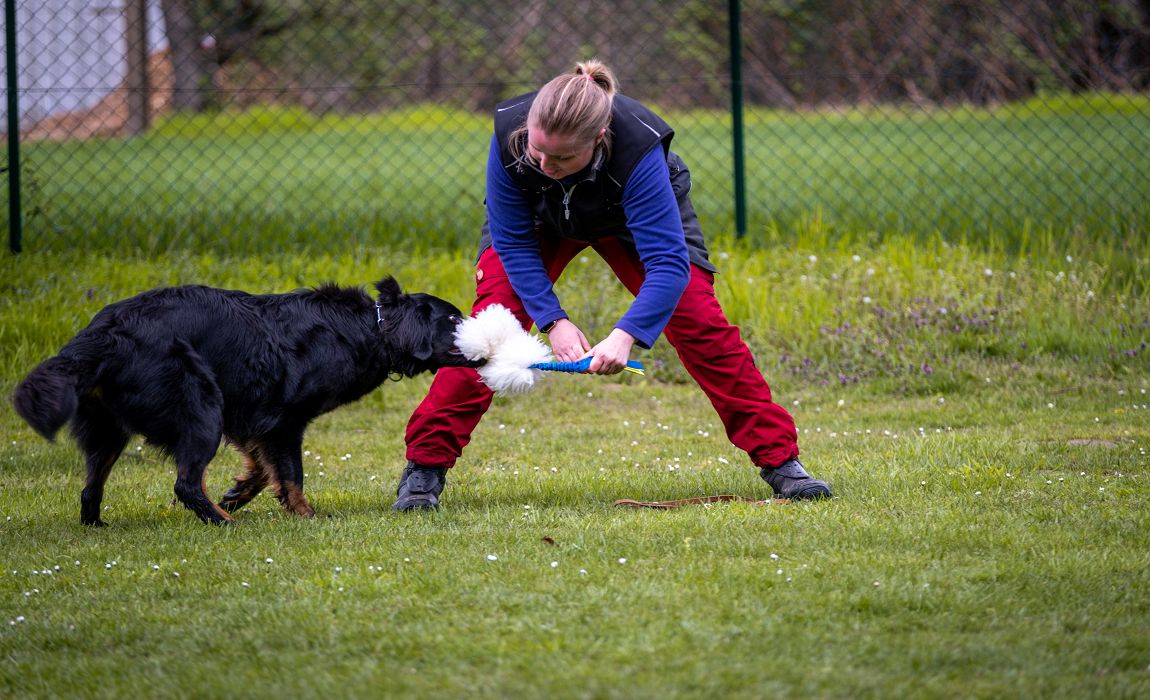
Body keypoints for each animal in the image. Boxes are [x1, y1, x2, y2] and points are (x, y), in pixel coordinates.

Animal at [10, 277, 476, 524]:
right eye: (453, 318)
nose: (484, 328)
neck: (373, 327)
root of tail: (106, 331)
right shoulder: (284, 421)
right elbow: (291, 474)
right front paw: (305, 515)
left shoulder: (249, 417)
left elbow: (262, 469)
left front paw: (239, 492)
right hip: (200, 411)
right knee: (185, 483)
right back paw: (223, 521)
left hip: (111, 427)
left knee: (91, 487)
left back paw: (98, 526)